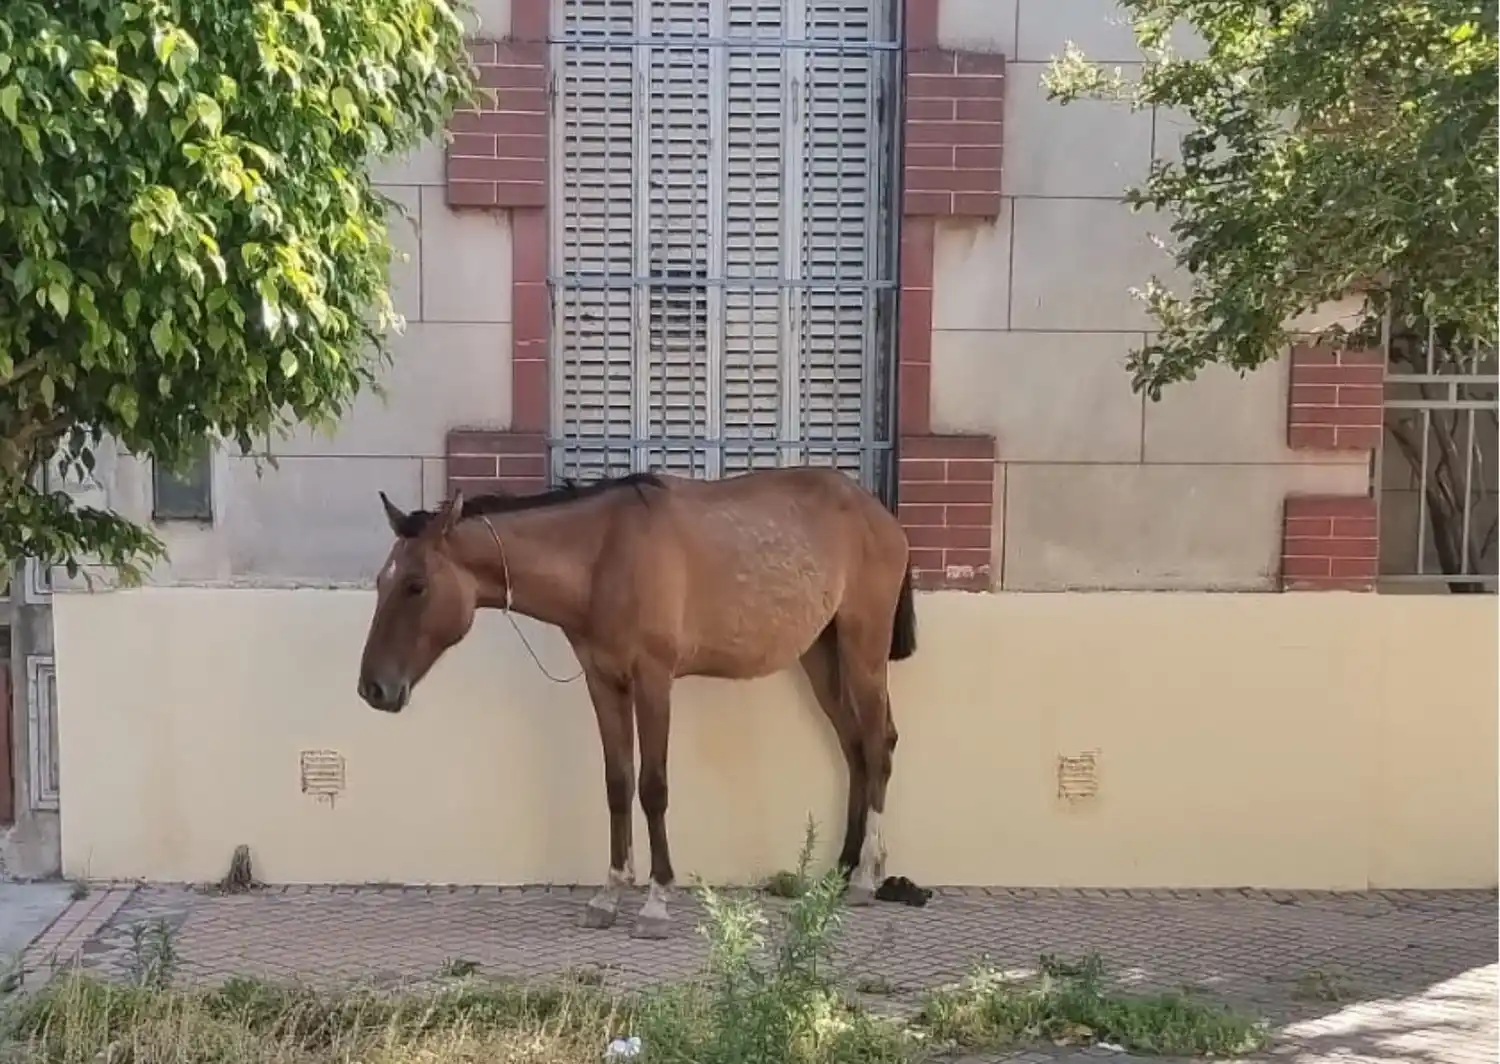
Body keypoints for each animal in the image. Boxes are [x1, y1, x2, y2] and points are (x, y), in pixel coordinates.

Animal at [357, 465, 916, 938]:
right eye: (382, 580)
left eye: (416, 585)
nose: (373, 689)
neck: (602, 556)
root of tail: (880, 514)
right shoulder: (604, 682)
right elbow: (617, 783)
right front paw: (608, 895)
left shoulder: (653, 680)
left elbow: (653, 786)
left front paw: (655, 901)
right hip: (821, 654)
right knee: (854, 749)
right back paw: (841, 870)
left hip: (862, 648)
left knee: (878, 744)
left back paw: (866, 876)